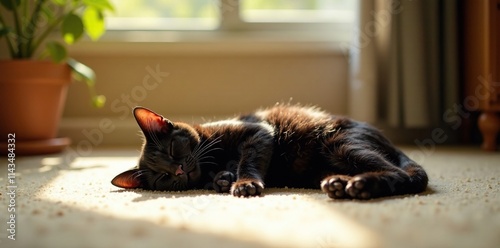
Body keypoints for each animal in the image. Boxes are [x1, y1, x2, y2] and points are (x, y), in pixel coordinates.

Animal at [111, 104, 428, 200]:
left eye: (172, 149)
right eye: (162, 178)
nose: (177, 169)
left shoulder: (258, 133)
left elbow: (248, 161)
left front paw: (244, 183)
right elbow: (222, 174)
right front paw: (222, 180)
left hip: (340, 144)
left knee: (401, 175)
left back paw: (358, 185)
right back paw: (340, 184)